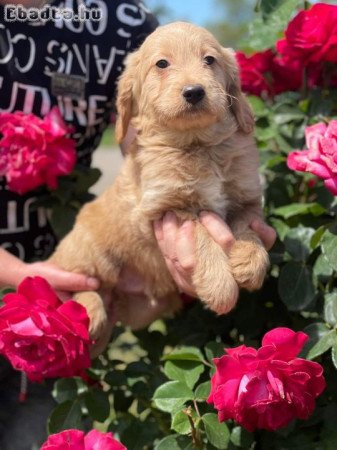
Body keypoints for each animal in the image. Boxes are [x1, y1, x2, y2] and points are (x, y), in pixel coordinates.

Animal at [50, 22, 268, 356]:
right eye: (162, 64)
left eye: (209, 60)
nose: (194, 91)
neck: (198, 145)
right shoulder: (169, 208)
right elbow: (202, 234)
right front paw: (221, 288)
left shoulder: (246, 199)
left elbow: (247, 225)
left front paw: (251, 262)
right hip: (87, 252)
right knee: (83, 285)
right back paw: (89, 310)